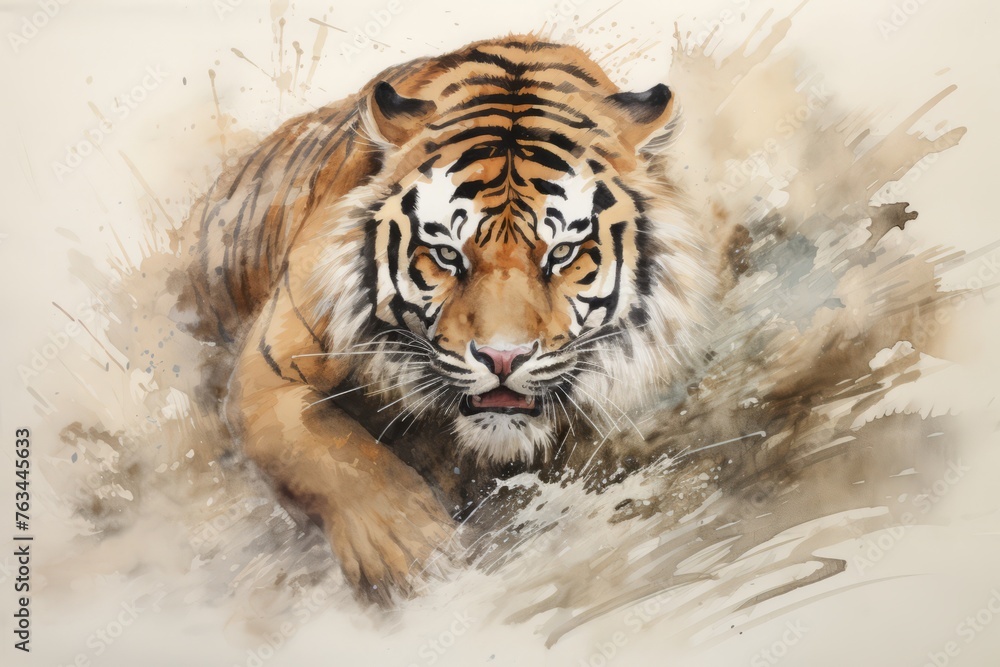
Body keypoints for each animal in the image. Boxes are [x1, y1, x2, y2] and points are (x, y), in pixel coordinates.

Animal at [175, 34, 717, 602]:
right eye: (446, 254)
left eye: (563, 253)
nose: (503, 358)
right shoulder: (270, 371)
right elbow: (330, 449)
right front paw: (407, 548)